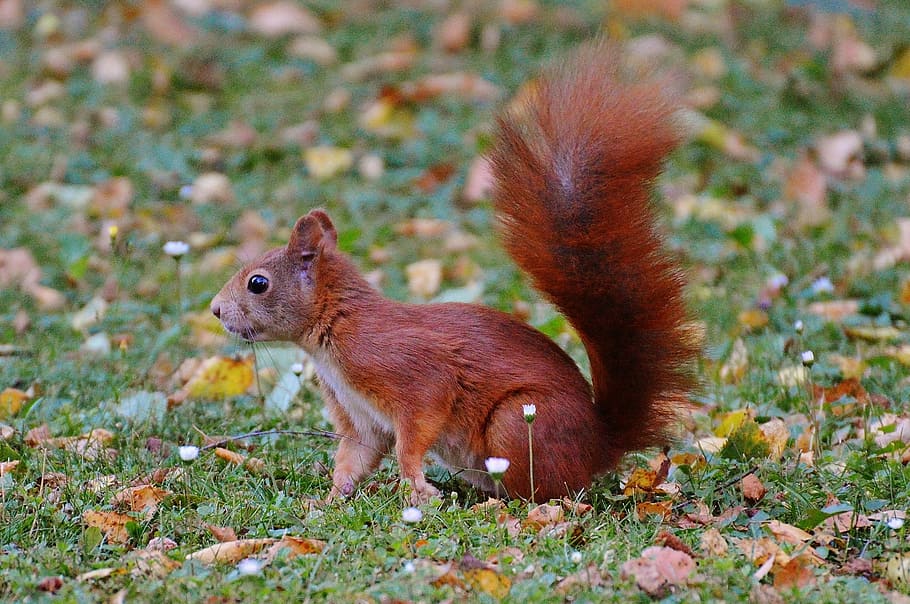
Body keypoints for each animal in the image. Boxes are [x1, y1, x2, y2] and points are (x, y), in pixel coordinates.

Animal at [210, 42, 697, 504]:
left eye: (258, 283)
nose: (215, 310)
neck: (334, 333)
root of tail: (599, 445)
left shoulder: (410, 374)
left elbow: (413, 435)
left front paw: (416, 489)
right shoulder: (360, 417)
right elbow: (354, 457)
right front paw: (328, 500)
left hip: (518, 423)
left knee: (548, 492)